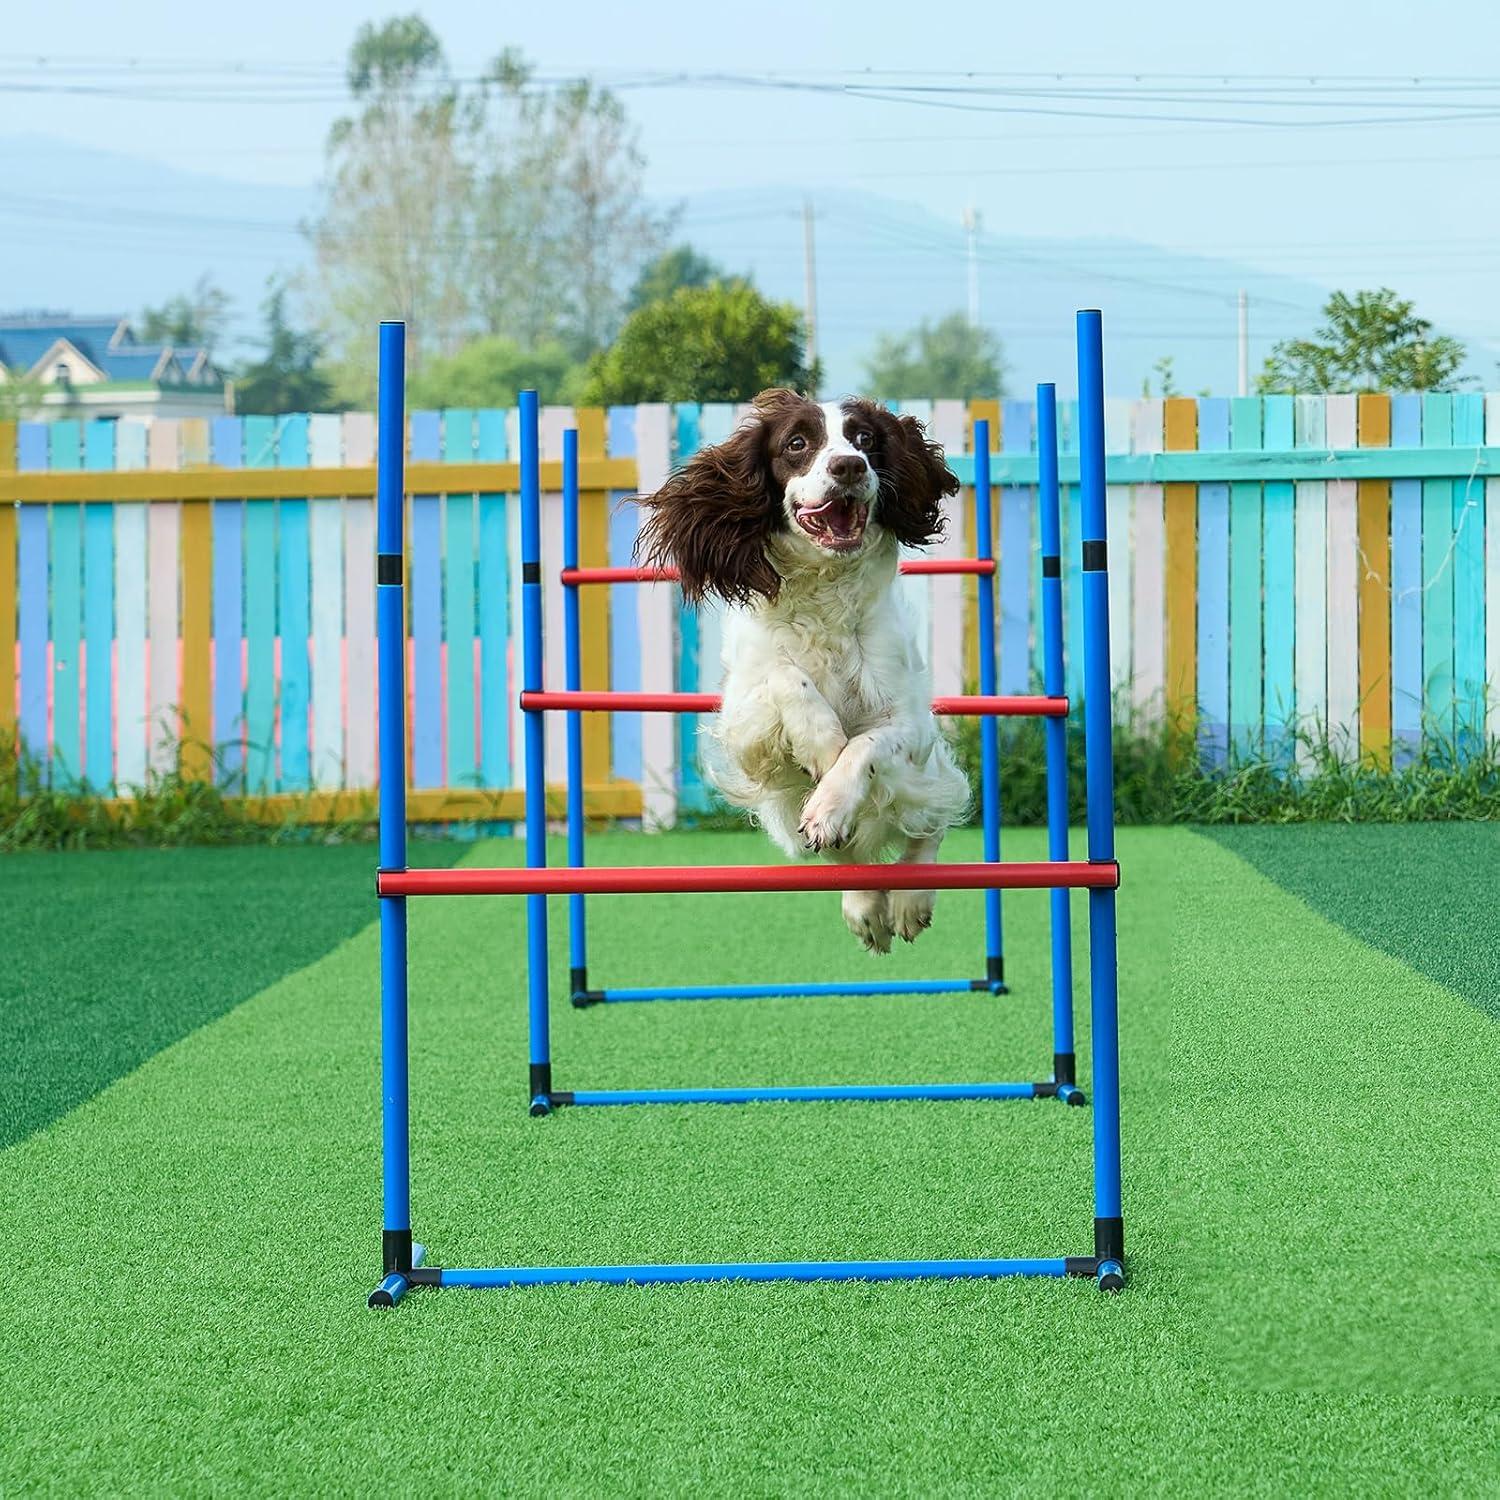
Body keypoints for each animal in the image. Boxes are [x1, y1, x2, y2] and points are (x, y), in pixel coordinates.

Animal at [636, 387, 972, 948]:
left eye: (865, 438)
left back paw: (909, 898)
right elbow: (787, 679)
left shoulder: (910, 726)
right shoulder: (743, 729)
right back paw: (866, 907)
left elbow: (866, 746)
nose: (849, 466)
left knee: (932, 816)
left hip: (921, 779)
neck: (826, 593)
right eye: (797, 443)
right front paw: (821, 743)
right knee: (848, 857)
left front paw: (831, 802)